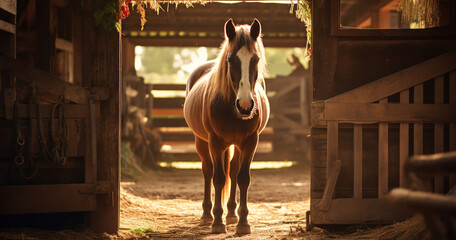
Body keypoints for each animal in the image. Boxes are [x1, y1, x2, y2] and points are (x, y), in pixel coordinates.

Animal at [183, 18, 268, 234]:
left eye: (255, 59)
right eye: (230, 60)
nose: (245, 106)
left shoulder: (250, 142)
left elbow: (242, 177)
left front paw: (243, 223)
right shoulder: (215, 141)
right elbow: (219, 178)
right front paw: (217, 222)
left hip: (235, 144)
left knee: (234, 169)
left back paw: (231, 213)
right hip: (201, 141)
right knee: (208, 170)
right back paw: (207, 214)